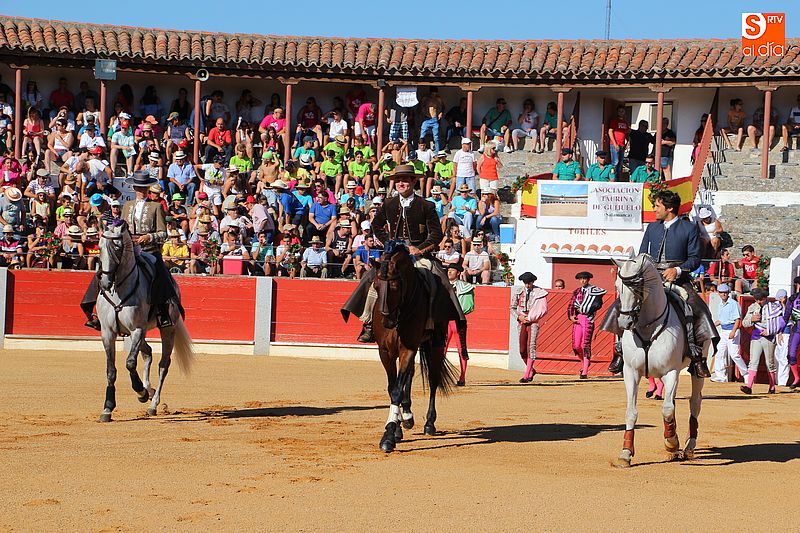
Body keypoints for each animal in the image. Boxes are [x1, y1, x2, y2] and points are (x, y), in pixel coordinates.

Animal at [96, 220, 194, 422]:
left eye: (117, 247)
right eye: (99, 247)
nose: (105, 282)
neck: (119, 289)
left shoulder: (137, 329)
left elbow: (130, 363)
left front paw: (140, 392)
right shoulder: (107, 332)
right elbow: (111, 370)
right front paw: (107, 408)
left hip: (168, 330)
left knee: (163, 365)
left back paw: (152, 403)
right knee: (148, 352)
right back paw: (150, 390)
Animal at [372, 242, 457, 453]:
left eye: (394, 285)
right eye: (376, 285)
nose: (386, 321)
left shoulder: (408, 348)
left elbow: (396, 389)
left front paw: (388, 436)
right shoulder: (385, 352)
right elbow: (393, 387)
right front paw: (396, 428)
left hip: (435, 345)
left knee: (433, 380)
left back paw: (429, 423)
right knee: (408, 377)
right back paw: (407, 417)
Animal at [611, 253, 705, 467]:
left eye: (638, 286)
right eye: (617, 286)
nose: (624, 322)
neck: (647, 326)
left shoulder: (671, 372)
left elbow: (667, 409)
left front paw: (672, 443)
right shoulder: (630, 372)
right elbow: (631, 411)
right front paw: (625, 453)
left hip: (697, 370)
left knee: (695, 402)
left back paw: (688, 446)